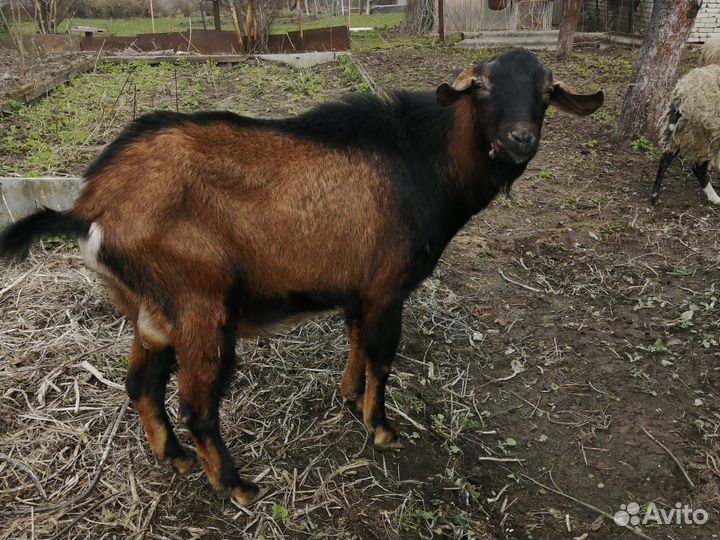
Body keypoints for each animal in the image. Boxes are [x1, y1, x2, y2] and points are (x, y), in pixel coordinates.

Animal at [0, 48, 603, 506]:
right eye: (482, 87)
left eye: (546, 91)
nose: (520, 139)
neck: (422, 162)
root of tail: (90, 205)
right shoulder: (388, 285)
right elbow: (383, 353)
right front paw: (380, 427)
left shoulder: (359, 287)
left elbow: (356, 339)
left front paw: (348, 396)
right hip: (201, 302)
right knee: (198, 405)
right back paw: (236, 485)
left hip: (151, 309)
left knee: (141, 384)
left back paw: (175, 459)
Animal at [651, 37, 720, 206]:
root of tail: (684, 93)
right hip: (705, 133)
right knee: (698, 167)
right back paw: (715, 198)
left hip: (684, 130)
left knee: (666, 156)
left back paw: (655, 195)